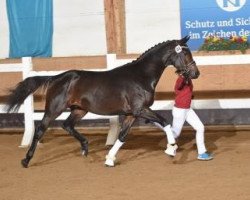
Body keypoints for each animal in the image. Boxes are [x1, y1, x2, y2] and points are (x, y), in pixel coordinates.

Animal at [5, 35, 199, 167]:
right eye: (185, 53)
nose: (196, 73)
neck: (141, 77)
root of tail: (57, 77)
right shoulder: (140, 109)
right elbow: (165, 122)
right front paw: (171, 148)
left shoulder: (131, 114)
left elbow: (122, 136)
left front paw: (110, 159)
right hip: (54, 109)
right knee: (40, 130)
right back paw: (26, 160)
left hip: (79, 109)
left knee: (67, 125)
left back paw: (85, 148)